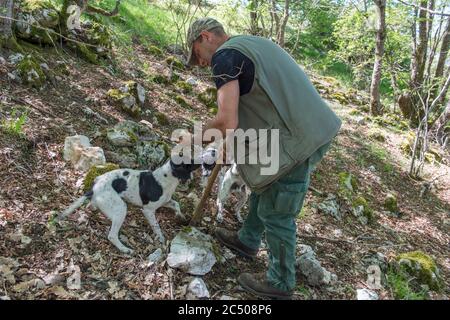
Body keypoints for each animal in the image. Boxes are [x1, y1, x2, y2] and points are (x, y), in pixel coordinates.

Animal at [57, 151, 212, 255]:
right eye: (189, 161)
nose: (204, 158)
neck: (166, 178)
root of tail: (94, 187)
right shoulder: (148, 210)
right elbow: (156, 226)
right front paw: (161, 238)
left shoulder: (165, 201)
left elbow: (176, 205)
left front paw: (181, 217)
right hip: (121, 208)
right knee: (112, 235)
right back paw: (125, 249)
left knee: (91, 206)